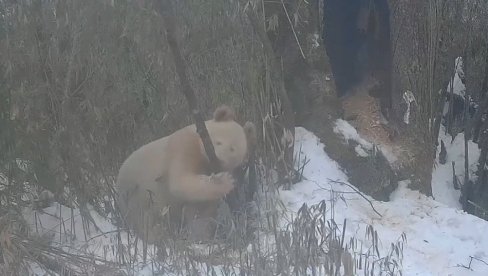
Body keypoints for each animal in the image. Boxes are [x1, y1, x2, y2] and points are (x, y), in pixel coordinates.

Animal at [116, 104, 258, 243]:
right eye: (219, 142)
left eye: (232, 150)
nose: (218, 158)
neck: (205, 159)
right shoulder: (183, 145)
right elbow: (180, 181)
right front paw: (225, 180)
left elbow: (201, 211)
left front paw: (202, 238)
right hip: (136, 196)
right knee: (145, 221)